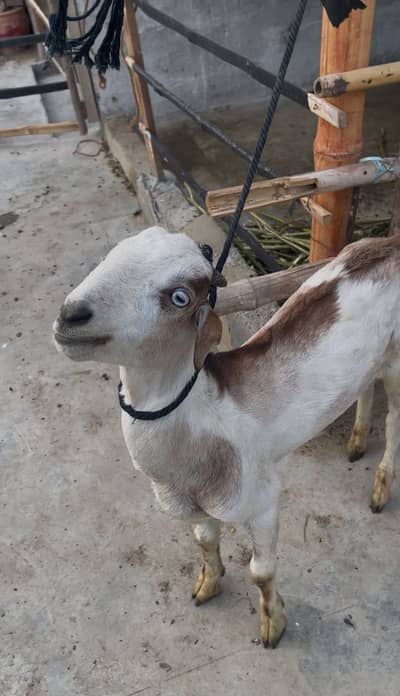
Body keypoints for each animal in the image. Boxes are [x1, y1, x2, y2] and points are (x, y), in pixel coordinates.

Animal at [53, 226, 400, 648]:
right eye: (112, 254)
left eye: (180, 297)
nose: (71, 315)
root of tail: (391, 244)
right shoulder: (195, 506)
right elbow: (204, 539)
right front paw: (207, 584)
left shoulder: (262, 500)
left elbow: (261, 572)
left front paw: (273, 626)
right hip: (371, 358)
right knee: (367, 385)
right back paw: (356, 442)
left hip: (399, 361)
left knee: (395, 420)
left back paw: (380, 490)